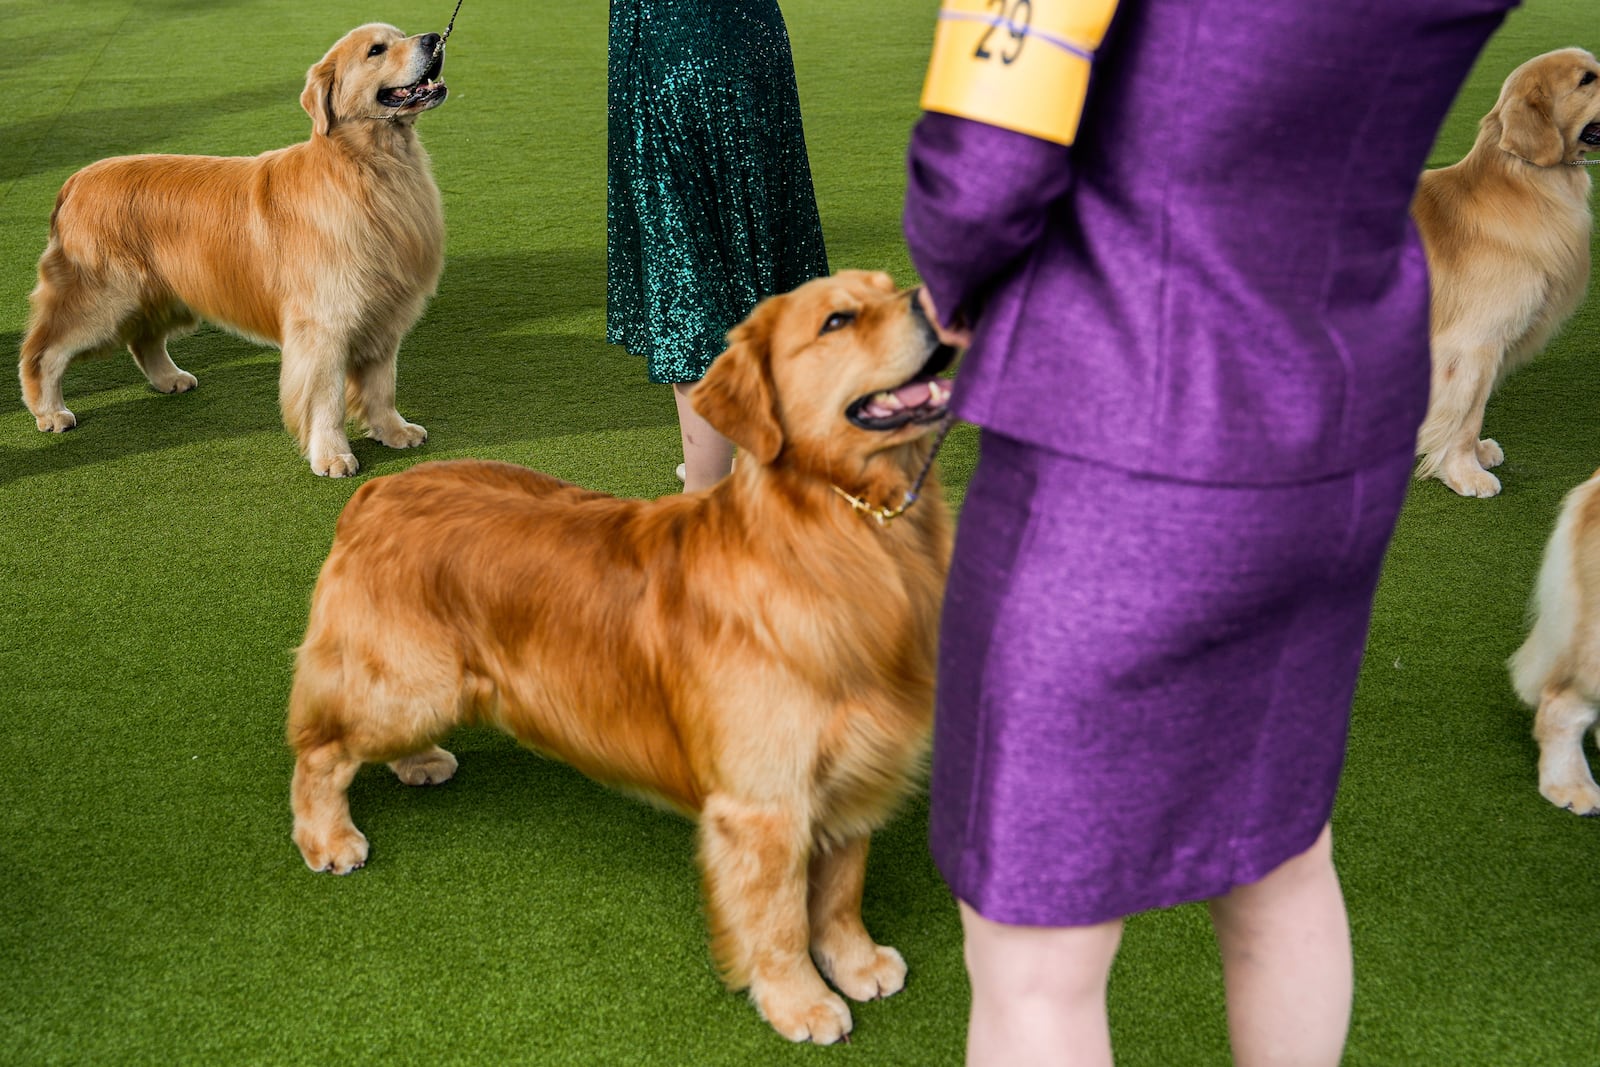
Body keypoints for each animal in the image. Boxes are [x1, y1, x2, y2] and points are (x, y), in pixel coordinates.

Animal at [21, 23, 451, 479]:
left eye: (401, 35)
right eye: (376, 50)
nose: (433, 39)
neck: (369, 165)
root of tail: (74, 182)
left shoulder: (382, 314)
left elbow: (382, 385)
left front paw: (392, 429)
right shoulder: (324, 324)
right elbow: (326, 398)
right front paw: (333, 455)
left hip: (163, 292)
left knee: (143, 339)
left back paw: (169, 378)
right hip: (102, 298)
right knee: (42, 352)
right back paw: (49, 412)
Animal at [284, 271, 947, 1049]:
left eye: (888, 287)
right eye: (838, 320)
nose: (936, 302)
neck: (842, 533)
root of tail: (372, 491)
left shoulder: (848, 773)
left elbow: (841, 891)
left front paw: (857, 961)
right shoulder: (765, 802)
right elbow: (780, 917)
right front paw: (801, 1001)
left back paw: (419, 761)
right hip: (410, 683)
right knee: (321, 750)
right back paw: (328, 837)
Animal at [1414, 47, 1600, 499]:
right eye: (1587, 79)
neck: (1526, 187)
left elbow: (1472, 414)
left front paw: (1477, 455)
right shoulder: (1473, 345)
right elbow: (1464, 416)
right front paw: (1465, 473)